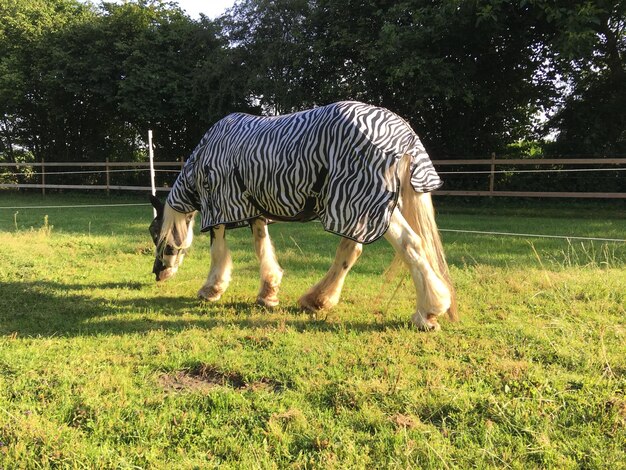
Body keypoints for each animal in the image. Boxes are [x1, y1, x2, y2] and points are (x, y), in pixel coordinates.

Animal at [149, 102, 456, 330]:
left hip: (364, 205)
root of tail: (400, 130)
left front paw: (211, 289)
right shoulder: (255, 211)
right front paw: (268, 293)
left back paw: (428, 312)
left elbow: (218, 250)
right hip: (356, 210)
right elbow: (262, 246)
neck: (207, 156)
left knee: (409, 245)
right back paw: (317, 299)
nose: (157, 273)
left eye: (156, 234)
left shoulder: (221, 208)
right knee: (350, 250)